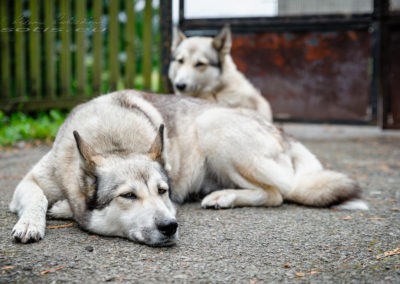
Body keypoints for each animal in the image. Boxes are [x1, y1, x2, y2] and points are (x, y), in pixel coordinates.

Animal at [10, 90, 366, 246]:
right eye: (128, 196)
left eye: (163, 191)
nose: (170, 226)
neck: (113, 142)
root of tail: (281, 131)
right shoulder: (27, 183)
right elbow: (38, 198)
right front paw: (32, 222)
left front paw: (61, 209)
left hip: (213, 127)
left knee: (277, 192)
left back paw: (224, 197)